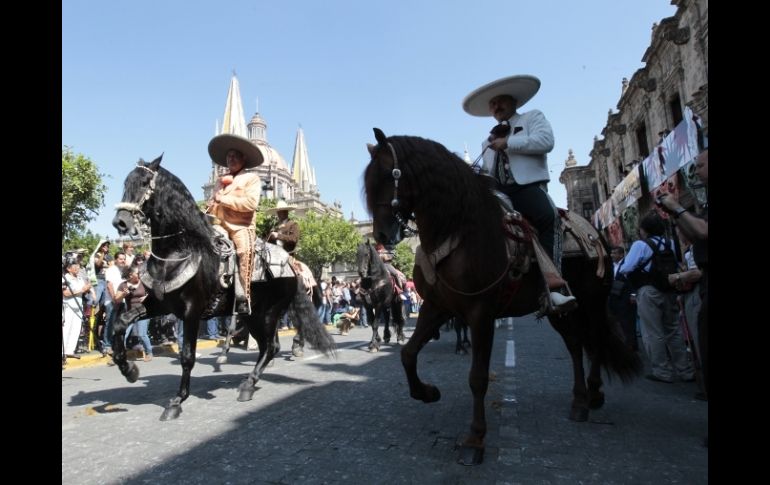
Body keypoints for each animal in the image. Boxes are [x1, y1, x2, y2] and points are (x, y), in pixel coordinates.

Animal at [364, 127, 640, 466]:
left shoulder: (480, 312)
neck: (458, 230)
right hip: (561, 310)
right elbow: (408, 354)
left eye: (391, 173)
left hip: (594, 302)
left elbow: (478, 377)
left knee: (597, 340)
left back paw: (596, 392)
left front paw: (475, 439)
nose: (382, 235)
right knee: (576, 345)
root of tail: (595, 233)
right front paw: (427, 392)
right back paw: (579, 400)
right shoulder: (437, 307)